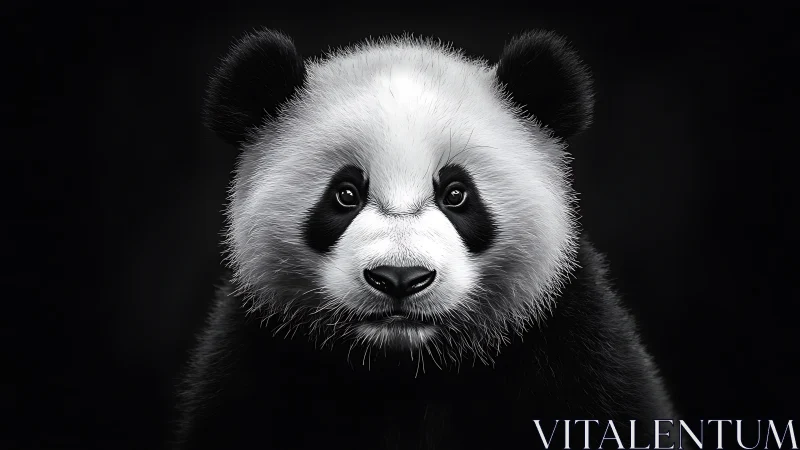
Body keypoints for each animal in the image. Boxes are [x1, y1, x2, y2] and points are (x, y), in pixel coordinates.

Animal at [173, 28, 677, 450]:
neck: (408, 370)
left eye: (456, 194)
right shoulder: (255, 357)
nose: (399, 278)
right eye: (345, 194)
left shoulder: (574, 349)